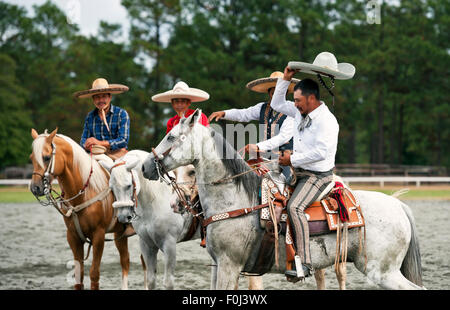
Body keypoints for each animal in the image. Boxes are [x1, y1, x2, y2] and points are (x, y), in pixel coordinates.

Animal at [29, 128, 130, 288]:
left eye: (46, 157)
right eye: (31, 157)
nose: (35, 188)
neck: (84, 192)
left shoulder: (98, 236)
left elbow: (94, 274)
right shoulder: (73, 236)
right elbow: (78, 275)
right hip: (120, 233)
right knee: (126, 261)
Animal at [100, 150, 264, 290]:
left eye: (128, 185)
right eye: (111, 187)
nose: (123, 216)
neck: (154, 201)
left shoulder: (169, 244)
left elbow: (168, 282)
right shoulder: (146, 244)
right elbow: (151, 281)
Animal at [141, 109, 426, 290]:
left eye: (171, 136)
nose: (145, 166)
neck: (236, 199)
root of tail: (398, 205)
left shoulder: (229, 264)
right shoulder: (218, 264)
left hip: (382, 271)